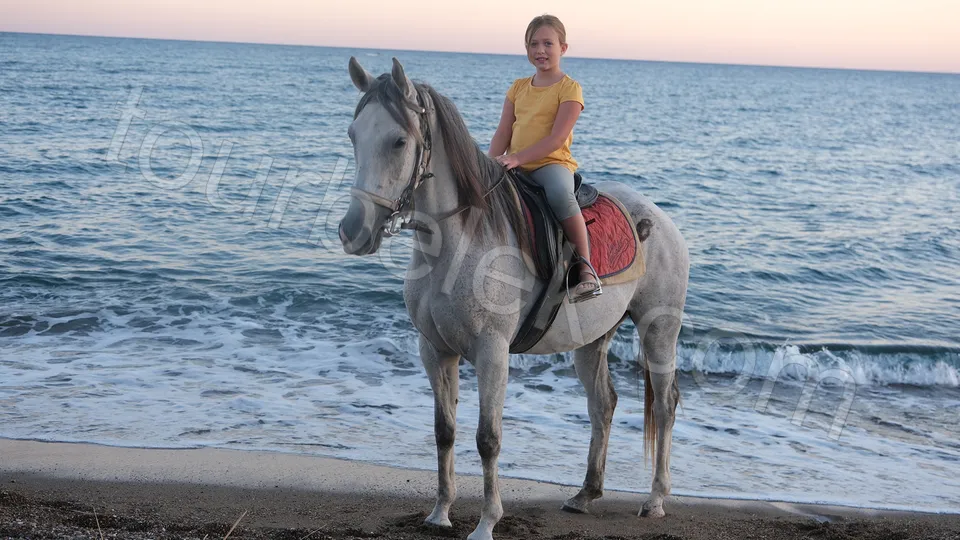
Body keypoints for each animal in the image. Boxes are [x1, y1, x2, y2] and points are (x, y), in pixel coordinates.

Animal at [338, 57, 689, 540]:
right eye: (354, 135)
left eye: (398, 141)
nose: (353, 231)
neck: (458, 239)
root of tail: (660, 219)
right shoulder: (435, 350)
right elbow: (444, 431)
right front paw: (440, 512)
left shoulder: (492, 351)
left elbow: (488, 438)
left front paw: (487, 522)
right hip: (592, 340)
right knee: (602, 405)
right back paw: (585, 495)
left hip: (658, 330)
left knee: (666, 405)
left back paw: (655, 499)